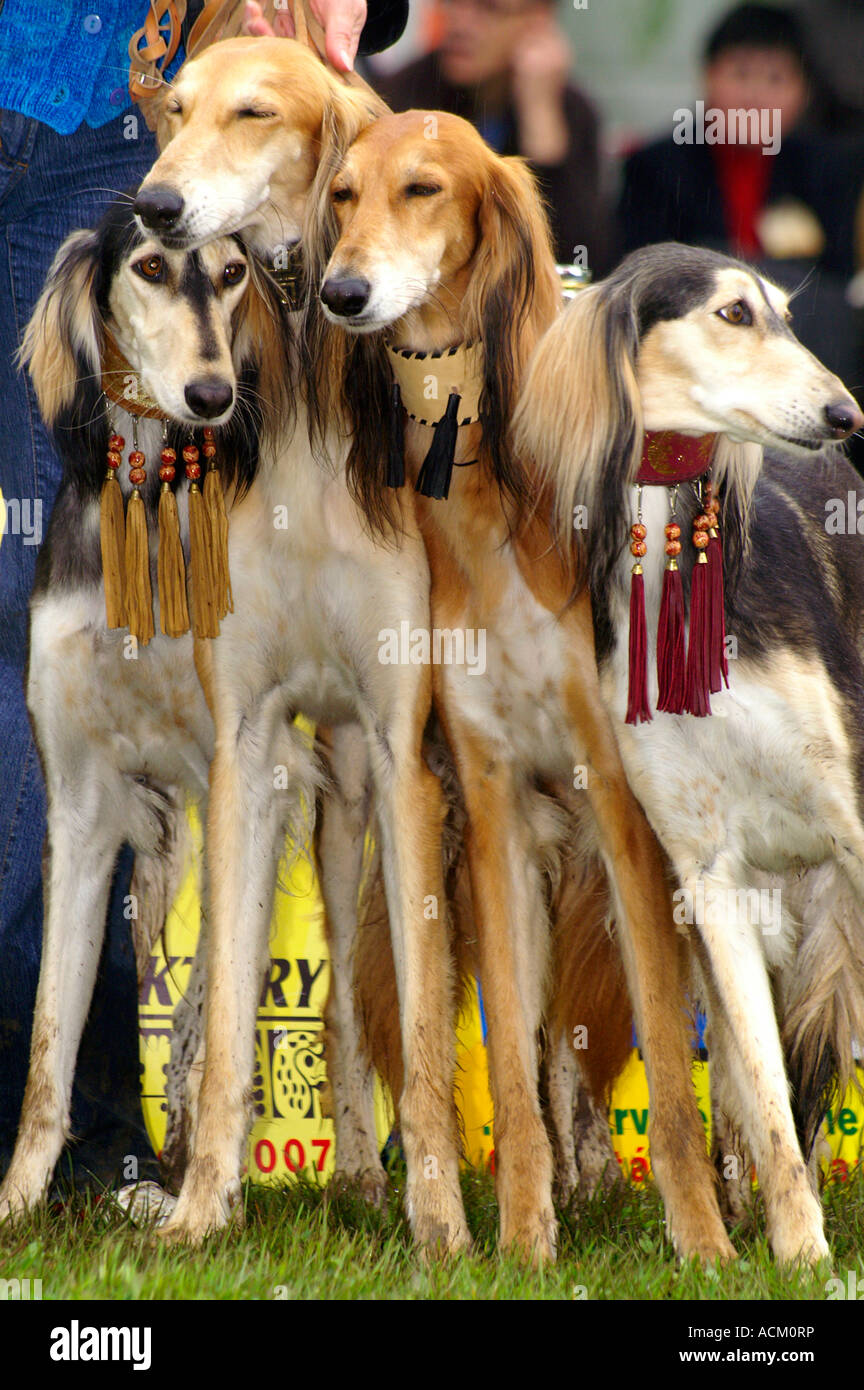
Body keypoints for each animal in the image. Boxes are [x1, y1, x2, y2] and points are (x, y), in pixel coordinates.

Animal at [318, 111, 738, 1262]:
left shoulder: (623, 803)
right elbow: (508, 1053)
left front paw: (705, 1244)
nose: (340, 292)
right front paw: (519, 1239)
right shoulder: (493, 804)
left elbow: (670, 1071)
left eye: (423, 189)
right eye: (342, 194)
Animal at [513, 244, 864, 1267]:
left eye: (785, 312)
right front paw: (798, 1252)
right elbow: (764, 1090)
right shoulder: (709, 877)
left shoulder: (855, 830)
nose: (845, 413)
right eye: (733, 313)